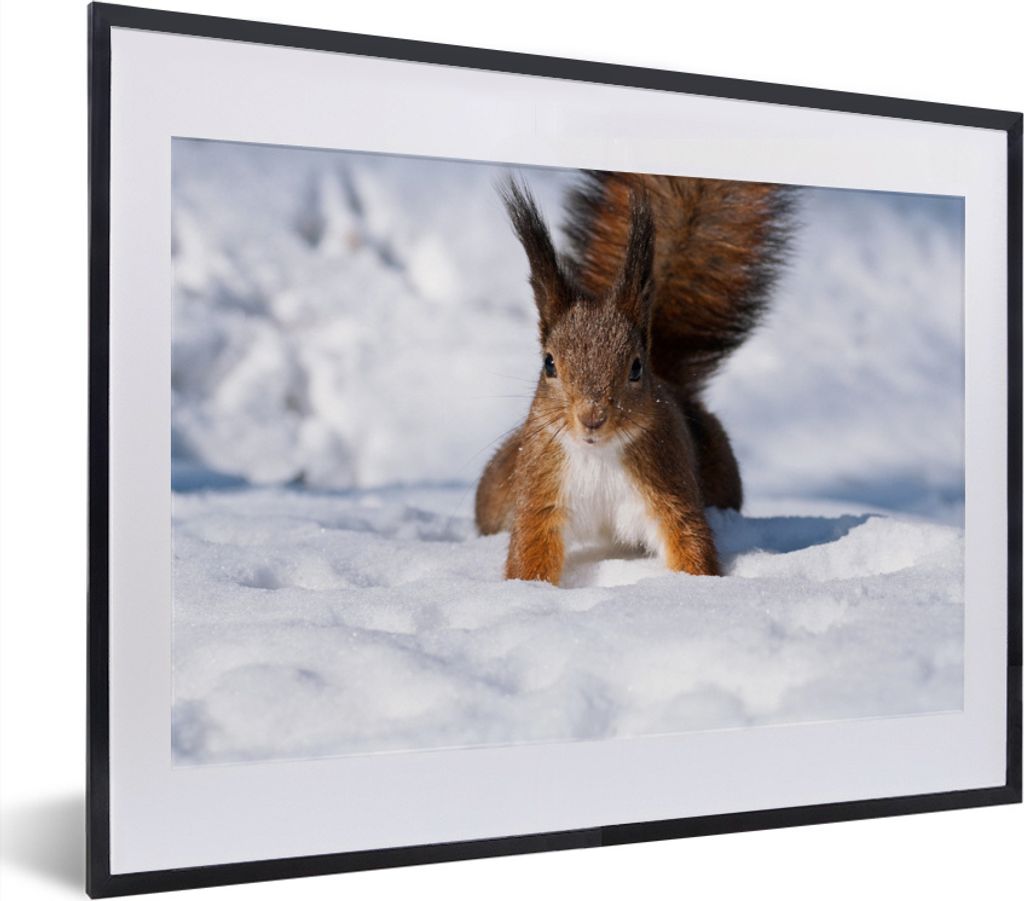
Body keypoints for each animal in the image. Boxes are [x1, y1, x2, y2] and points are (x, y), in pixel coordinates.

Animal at [475, 172, 792, 585]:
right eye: (549, 364)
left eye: (636, 368)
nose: (592, 417)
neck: (598, 455)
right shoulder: (543, 492)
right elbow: (531, 547)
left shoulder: (667, 488)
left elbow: (688, 538)